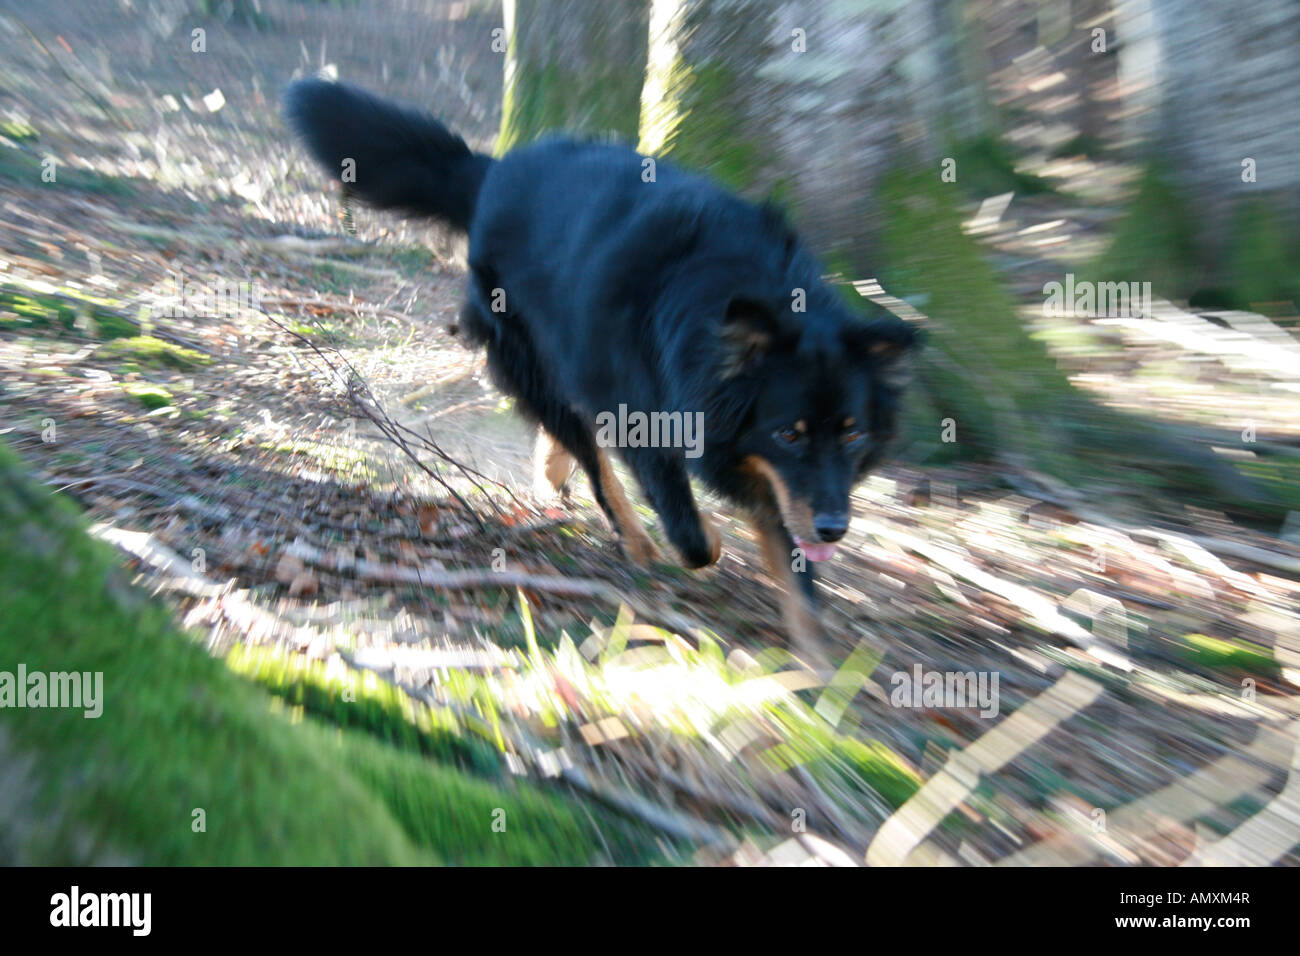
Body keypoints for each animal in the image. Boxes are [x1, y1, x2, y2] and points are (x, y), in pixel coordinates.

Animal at [287, 78, 915, 665]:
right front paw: (707, 545)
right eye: (789, 433)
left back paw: (553, 472)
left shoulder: (779, 473)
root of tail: (488, 171)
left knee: (569, 429)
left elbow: (791, 554)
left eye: (853, 433)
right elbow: (688, 528)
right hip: (531, 349)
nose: (835, 528)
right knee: (588, 451)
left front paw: (818, 663)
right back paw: (630, 536)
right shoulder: (652, 415)